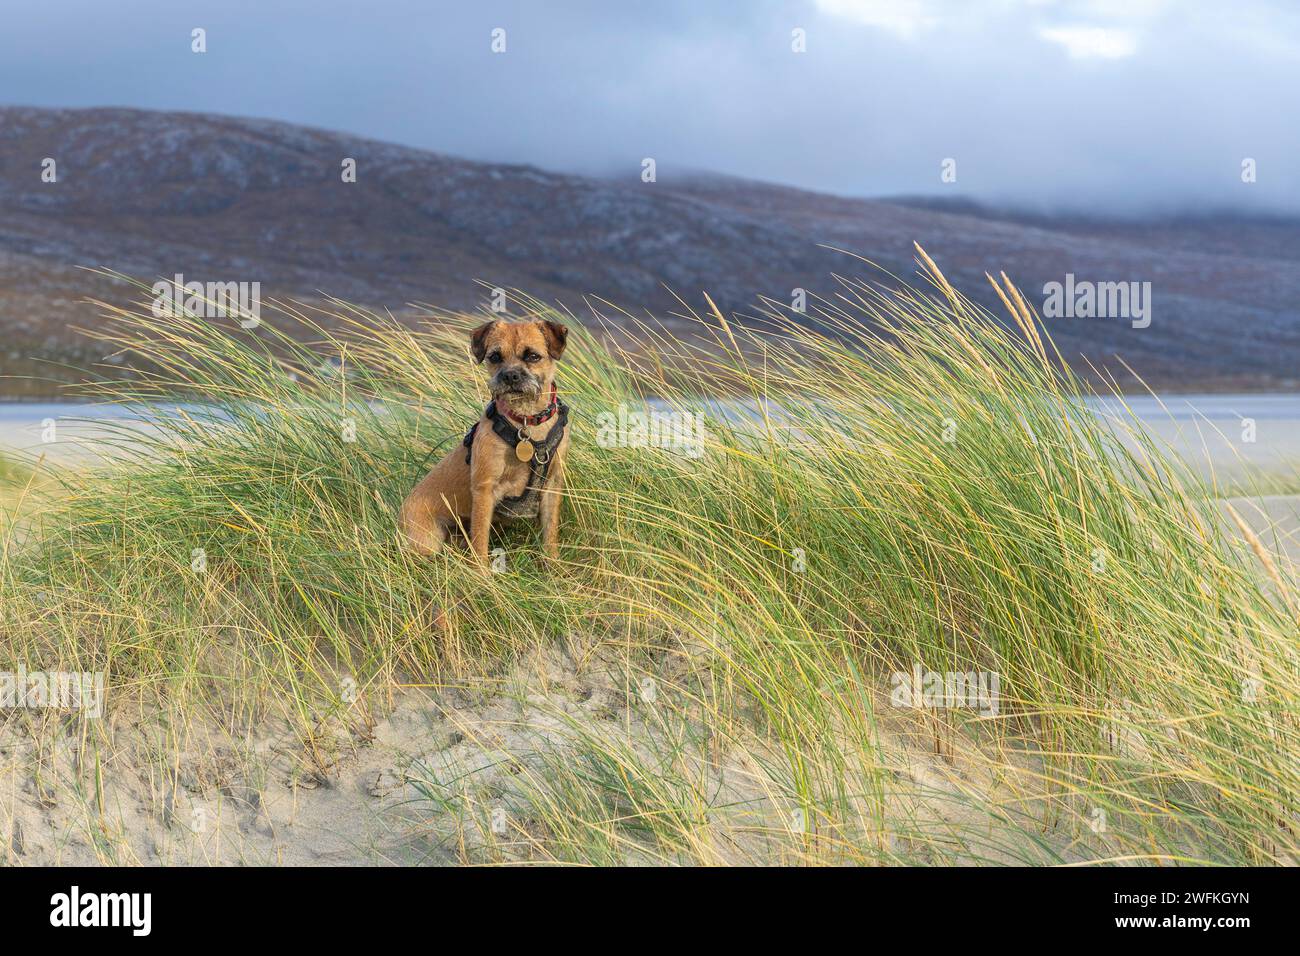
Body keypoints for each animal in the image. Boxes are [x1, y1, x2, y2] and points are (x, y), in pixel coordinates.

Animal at [400, 317, 569, 564]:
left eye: (532, 356)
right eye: (495, 357)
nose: (510, 376)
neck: (525, 421)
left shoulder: (552, 487)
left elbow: (550, 534)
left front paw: (554, 566)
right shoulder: (484, 490)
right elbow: (480, 541)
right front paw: (482, 573)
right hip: (427, 541)